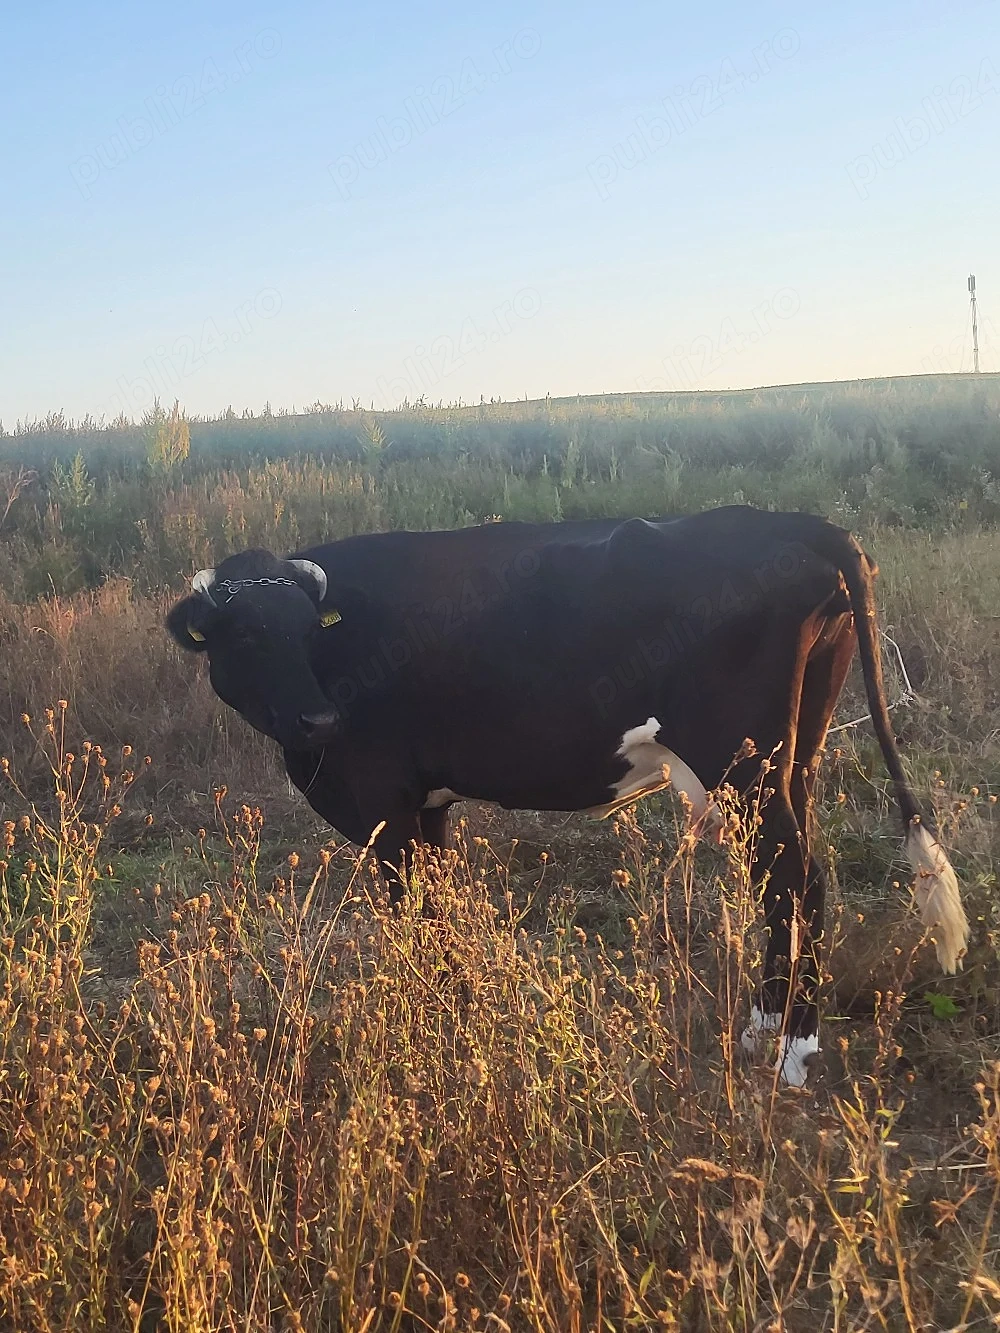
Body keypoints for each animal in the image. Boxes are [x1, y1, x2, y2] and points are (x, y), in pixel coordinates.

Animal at [166, 507, 968, 1085]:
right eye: (245, 634)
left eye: (306, 631)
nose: (318, 718)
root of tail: (794, 521)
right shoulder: (425, 803)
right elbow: (437, 907)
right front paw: (452, 1003)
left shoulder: (382, 801)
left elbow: (409, 910)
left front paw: (422, 1017)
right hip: (795, 757)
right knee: (795, 877)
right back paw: (767, 1027)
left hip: (744, 767)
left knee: (795, 880)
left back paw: (791, 1048)